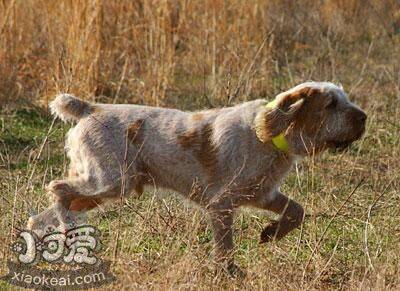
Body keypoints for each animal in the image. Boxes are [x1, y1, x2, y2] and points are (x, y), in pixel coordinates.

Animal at [26, 81, 368, 276]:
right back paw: (70, 234)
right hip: (108, 182)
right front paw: (229, 272)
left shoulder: (264, 194)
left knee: (41, 215)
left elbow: (297, 211)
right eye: (331, 104)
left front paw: (271, 234)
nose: (364, 117)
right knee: (57, 189)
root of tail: (89, 108)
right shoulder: (221, 205)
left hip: (99, 190)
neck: (269, 137)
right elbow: (225, 247)